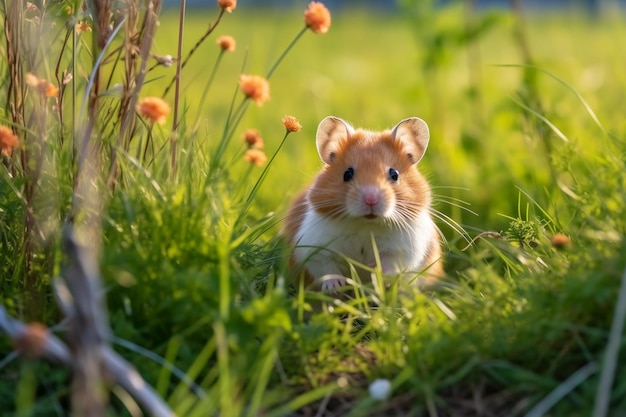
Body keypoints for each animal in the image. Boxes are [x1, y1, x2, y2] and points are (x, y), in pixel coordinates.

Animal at [280, 115, 442, 290]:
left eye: (394, 174)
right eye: (347, 174)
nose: (371, 199)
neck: (366, 225)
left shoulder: (404, 250)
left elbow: (390, 265)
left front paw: (375, 271)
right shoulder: (314, 248)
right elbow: (327, 269)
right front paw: (336, 287)